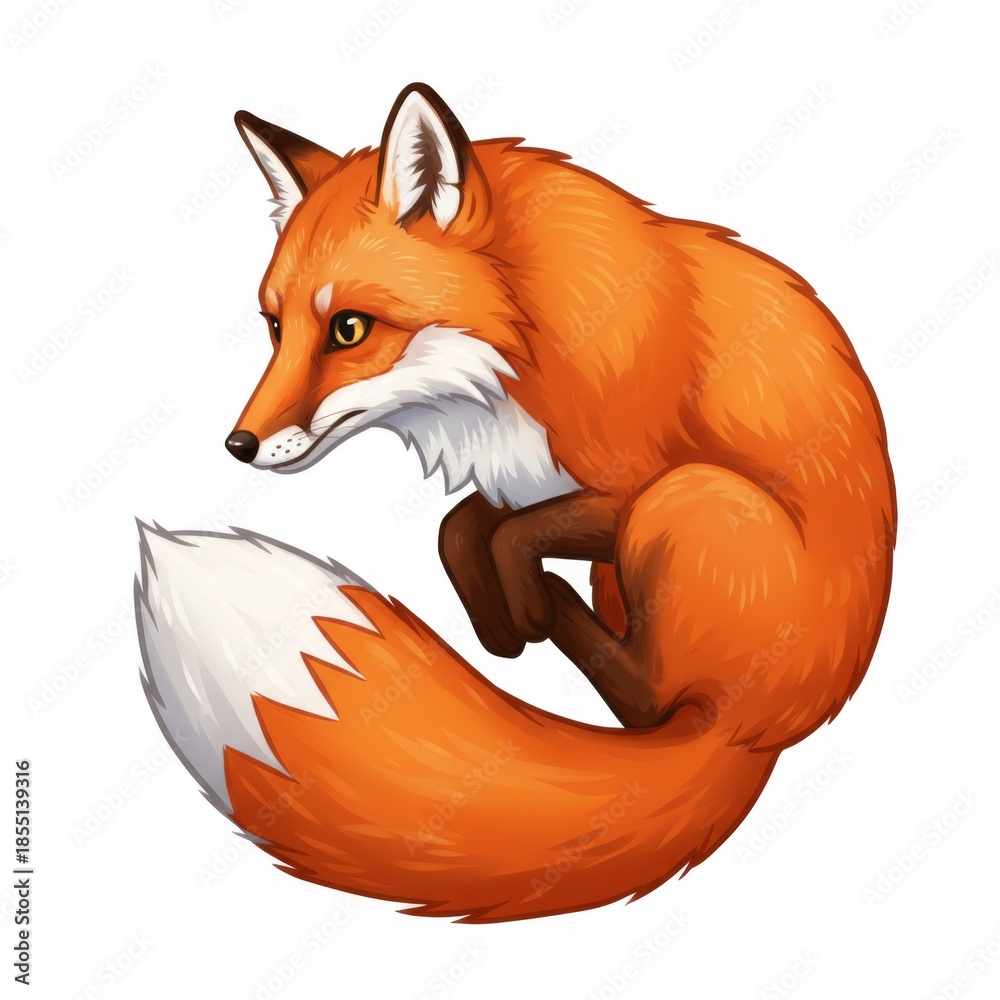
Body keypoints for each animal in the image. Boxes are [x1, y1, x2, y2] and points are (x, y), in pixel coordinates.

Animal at [135, 83, 895, 922]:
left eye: (349, 329)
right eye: (276, 328)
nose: (238, 445)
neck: (525, 346)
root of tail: (777, 724)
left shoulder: (630, 482)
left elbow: (509, 533)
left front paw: (522, 611)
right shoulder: (529, 476)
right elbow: (461, 525)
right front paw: (496, 621)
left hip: (688, 499)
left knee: (649, 701)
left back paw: (561, 611)